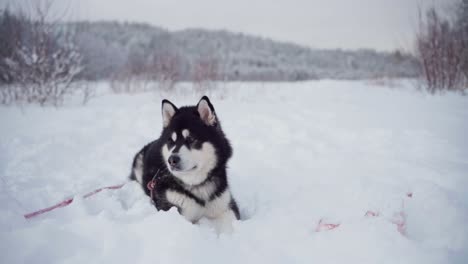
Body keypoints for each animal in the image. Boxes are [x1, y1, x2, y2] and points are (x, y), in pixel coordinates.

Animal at [131, 96, 239, 230]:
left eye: (191, 139)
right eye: (171, 141)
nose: (172, 160)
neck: (197, 185)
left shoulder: (226, 205)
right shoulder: (174, 209)